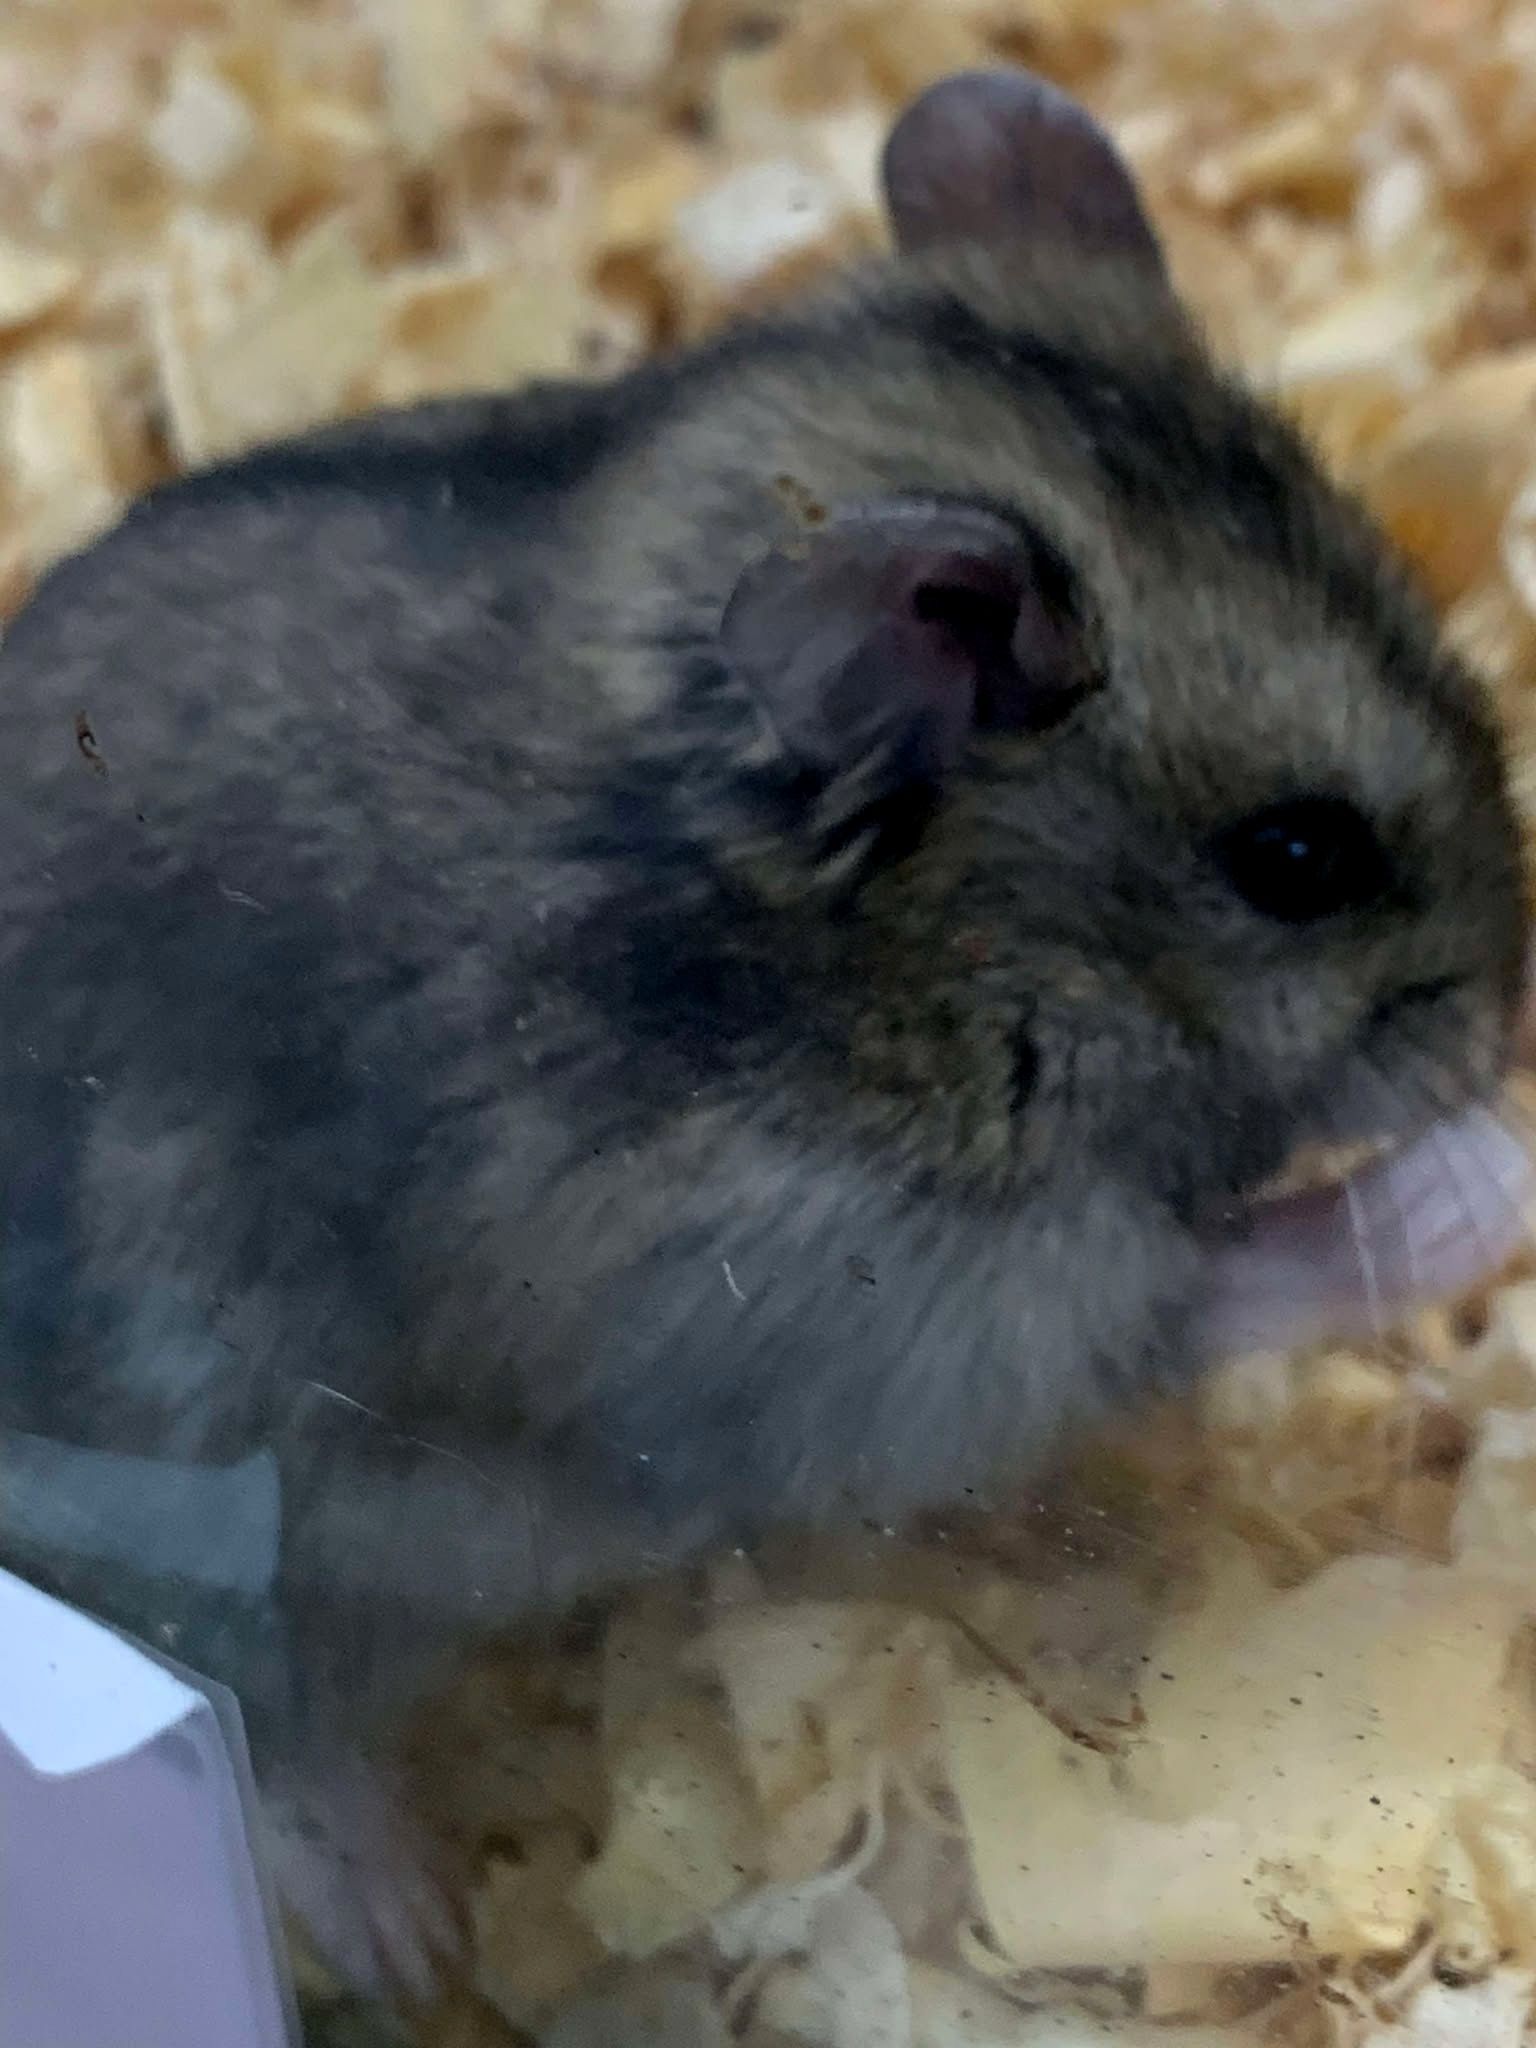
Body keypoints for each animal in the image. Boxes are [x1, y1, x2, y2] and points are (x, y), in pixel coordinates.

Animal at [0, 65, 1530, 2013]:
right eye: (1298, 858)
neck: (874, 950)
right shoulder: (869, 1313)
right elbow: (1219, 1274)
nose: (1509, 1013)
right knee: (259, 1711)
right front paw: (1483, 1179)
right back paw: (406, 1929)